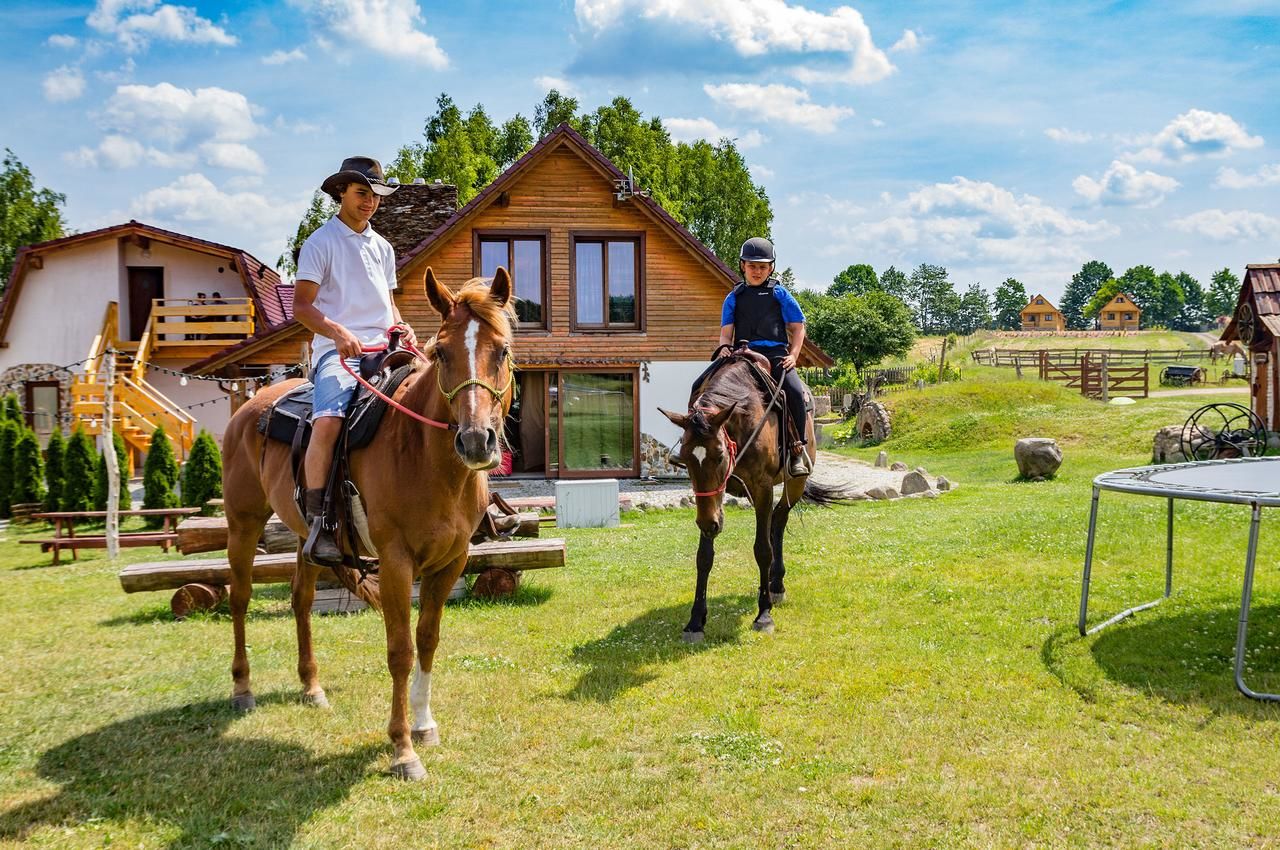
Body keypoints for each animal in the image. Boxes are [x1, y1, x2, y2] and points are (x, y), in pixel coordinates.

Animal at [220, 268, 514, 778]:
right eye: (441, 352)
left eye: (502, 350)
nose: (477, 441)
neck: (424, 455)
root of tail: (251, 406)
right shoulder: (396, 562)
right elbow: (400, 651)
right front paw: (402, 748)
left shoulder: (451, 562)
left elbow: (428, 640)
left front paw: (424, 724)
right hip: (243, 521)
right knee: (239, 599)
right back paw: (243, 689)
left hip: (307, 539)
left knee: (300, 601)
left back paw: (311, 686)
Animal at [660, 355, 849, 640]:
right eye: (686, 459)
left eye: (720, 456)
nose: (708, 524)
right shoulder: (712, 503)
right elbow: (704, 557)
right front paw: (695, 621)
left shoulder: (762, 488)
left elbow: (762, 549)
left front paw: (764, 615)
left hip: (795, 482)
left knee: (779, 521)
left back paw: (776, 585)